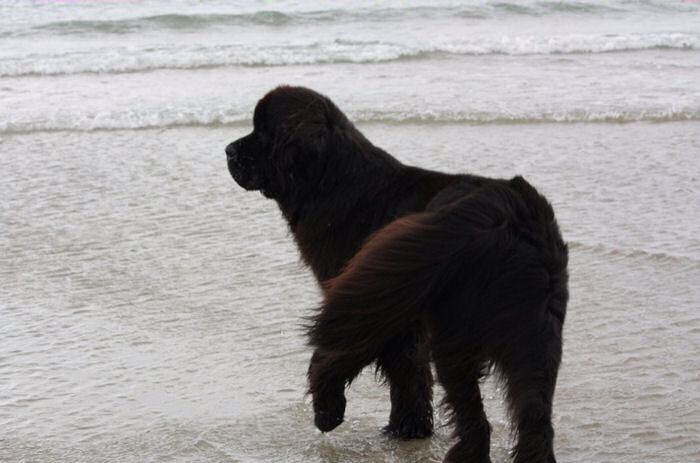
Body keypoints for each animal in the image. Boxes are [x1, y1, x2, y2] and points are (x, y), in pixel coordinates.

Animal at [227, 87, 568, 463]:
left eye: (262, 132)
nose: (228, 151)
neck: (331, 182)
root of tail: (510, 211)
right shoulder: (400, 313)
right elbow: (410, 372)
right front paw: (409, 429)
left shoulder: (369, 296)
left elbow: (355, 353)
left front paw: (329, 409)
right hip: (535, 334)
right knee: (534, 416)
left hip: (456, 332)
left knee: (475, 415)